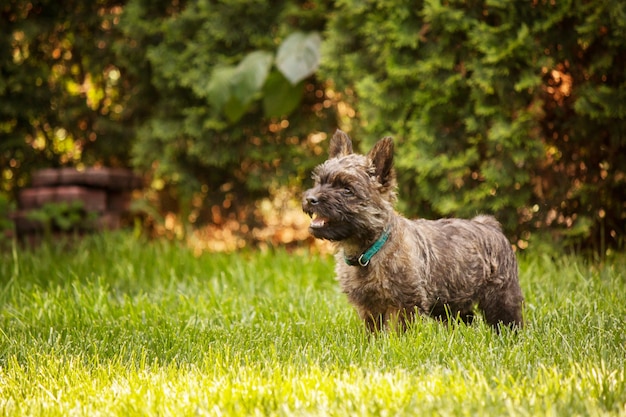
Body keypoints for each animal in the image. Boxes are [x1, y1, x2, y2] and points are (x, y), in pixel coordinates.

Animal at [302, 130, 520, 332]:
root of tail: (489, 224)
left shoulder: (404, 304)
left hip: (501, 296)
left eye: (347, 190)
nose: (310, 199)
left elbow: (398, 333)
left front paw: (395, 344)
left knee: (507, 322)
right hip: (452, 303)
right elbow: (373, 333)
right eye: (319, 182)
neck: (369, 250)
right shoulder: (369, 307)